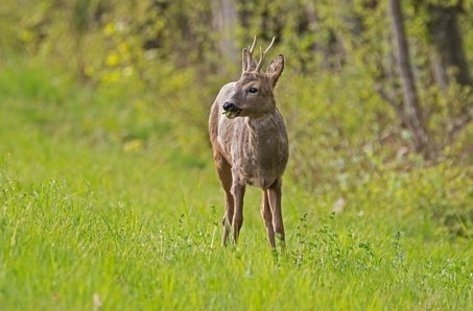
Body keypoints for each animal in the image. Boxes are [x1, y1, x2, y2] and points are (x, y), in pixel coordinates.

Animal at [209, 36, 288, 250]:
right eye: (238, 86)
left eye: (253, 89)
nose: (228, 105)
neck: (263, 160)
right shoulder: (238, 174)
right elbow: (238, 218)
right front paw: (234, 251)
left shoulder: (276, 179)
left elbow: (278, 222)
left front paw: (283, 254)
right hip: (220, 159)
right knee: (227, 212)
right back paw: (223, 246)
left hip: (263, 184)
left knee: (264, 213)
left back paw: (272, 250)